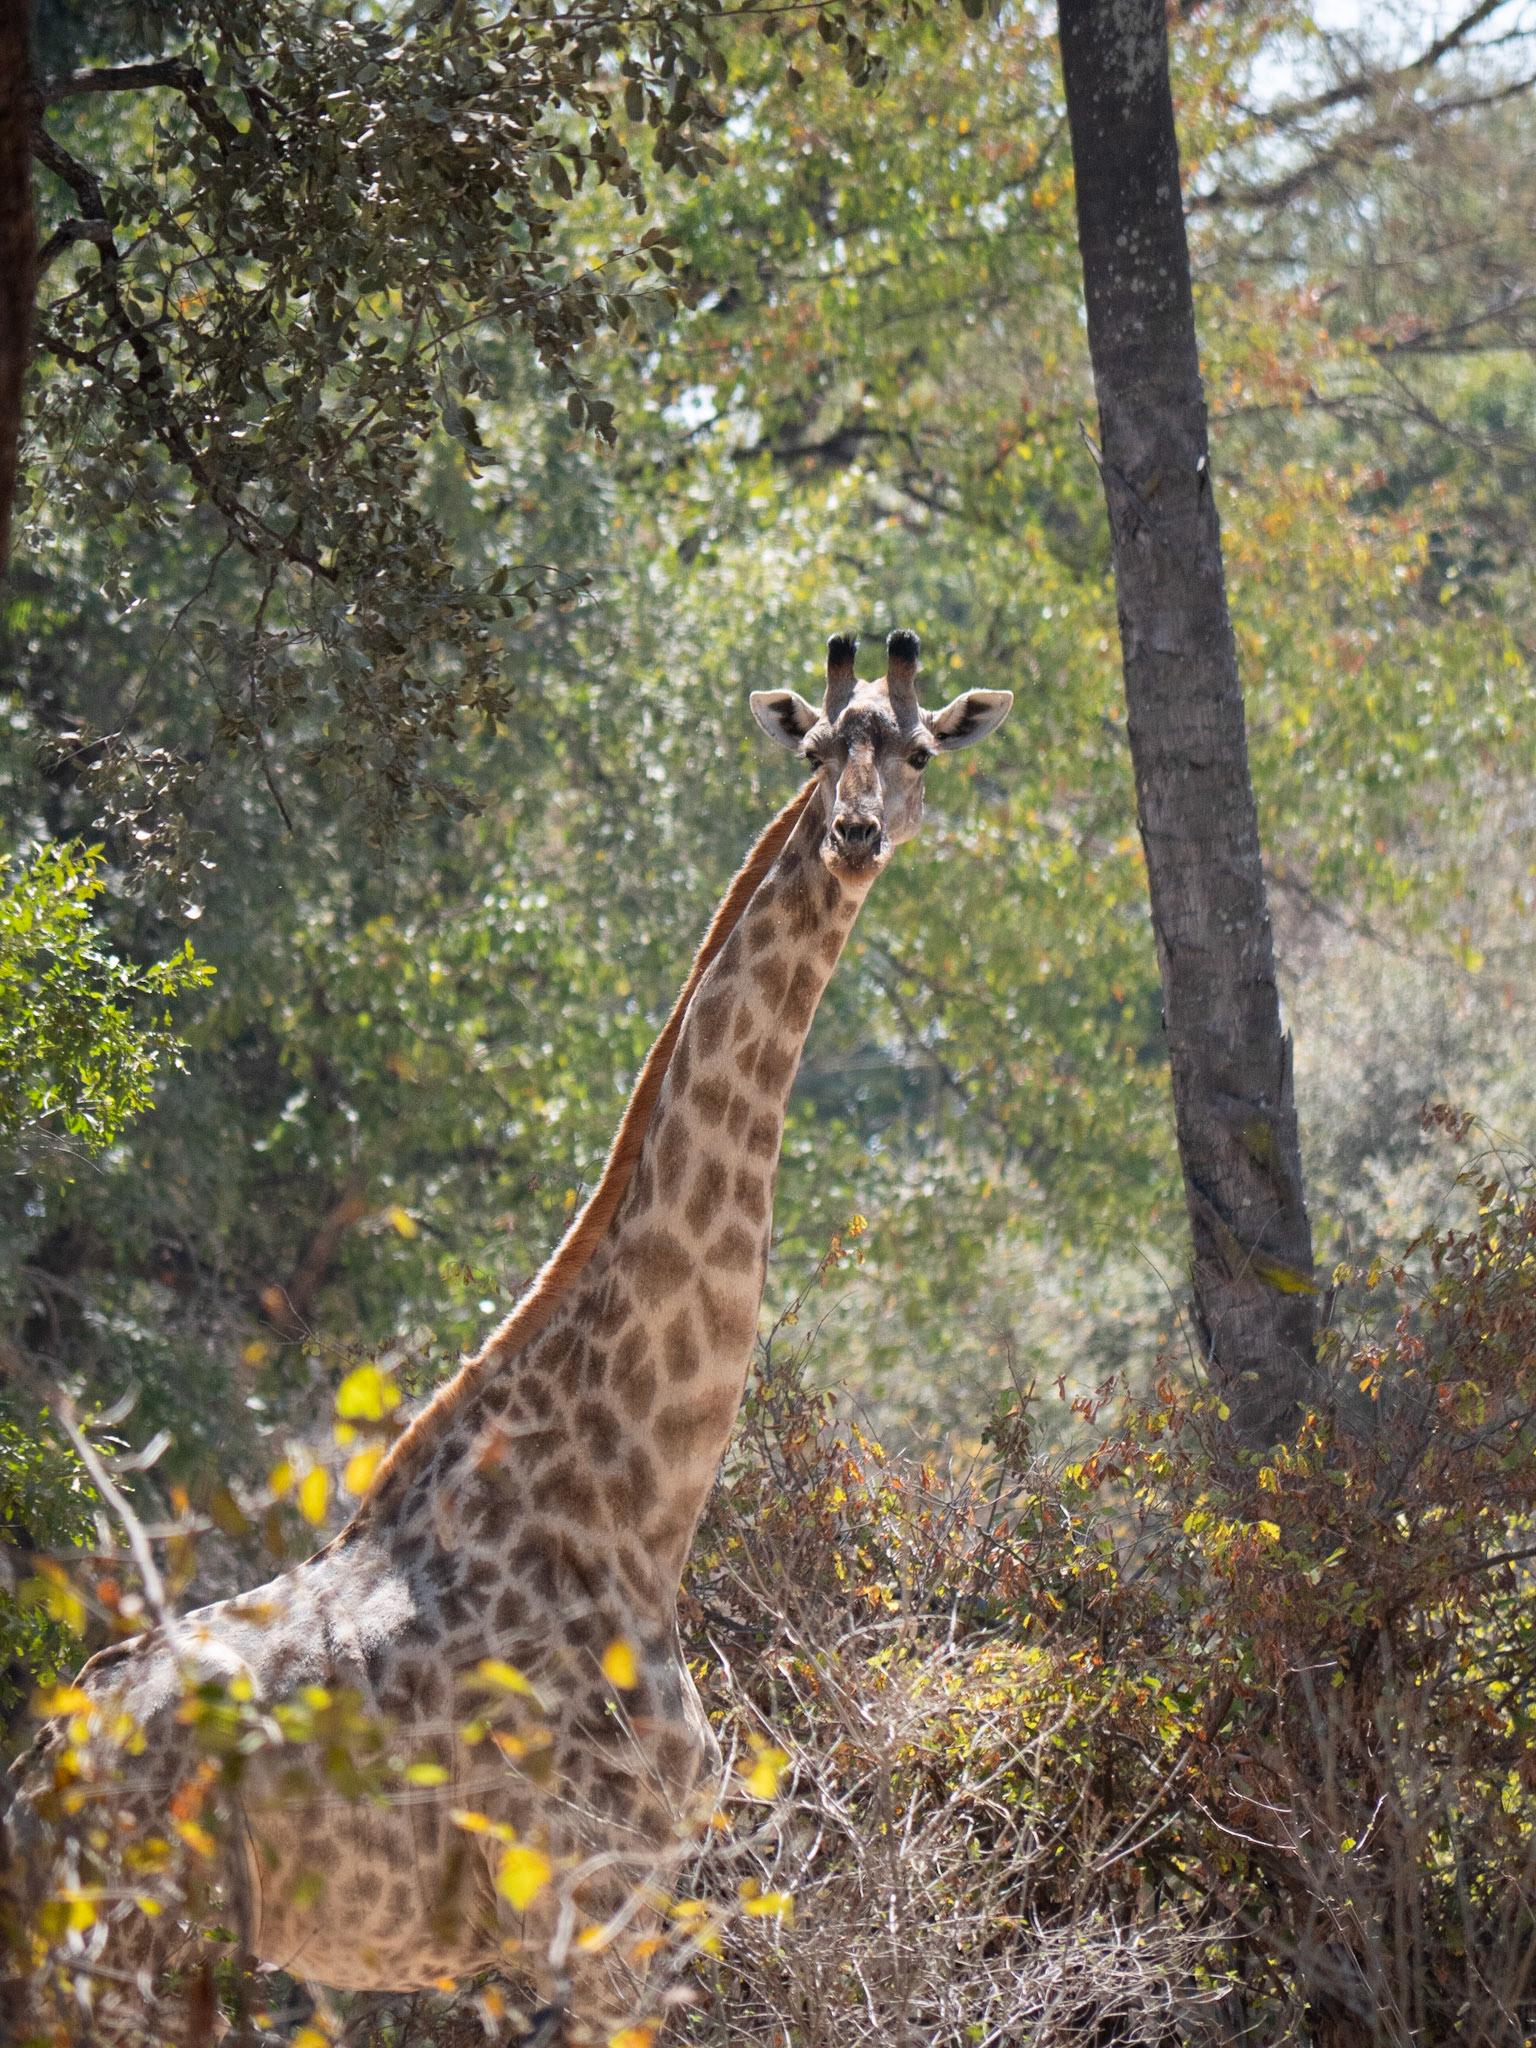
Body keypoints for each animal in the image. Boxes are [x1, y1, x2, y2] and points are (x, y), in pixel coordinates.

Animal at [3, 630, 1011, 2026]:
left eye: (917, 751)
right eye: (816, 752)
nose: (855, 833)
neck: (631, 1496)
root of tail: (34, 1775)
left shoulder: (587, 1913)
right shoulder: (598, 1899)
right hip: (133, 1962)